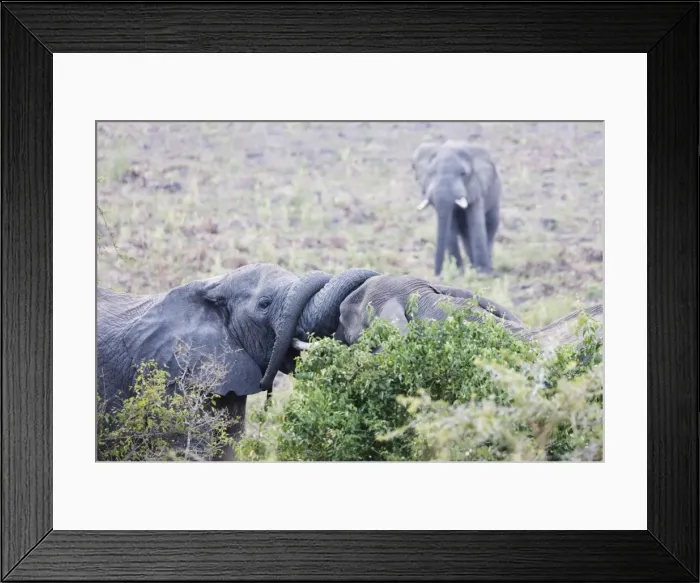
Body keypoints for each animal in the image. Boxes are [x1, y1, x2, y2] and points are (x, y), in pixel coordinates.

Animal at [412, 140, 502, 276]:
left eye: (463, 174)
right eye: (431, 173)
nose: (437, 274)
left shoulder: (476, 186)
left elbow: (476, 223)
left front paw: (482, 275)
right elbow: (450, 227)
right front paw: (458, 273)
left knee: (491, 224)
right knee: (465, 231)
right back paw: (471, 265)